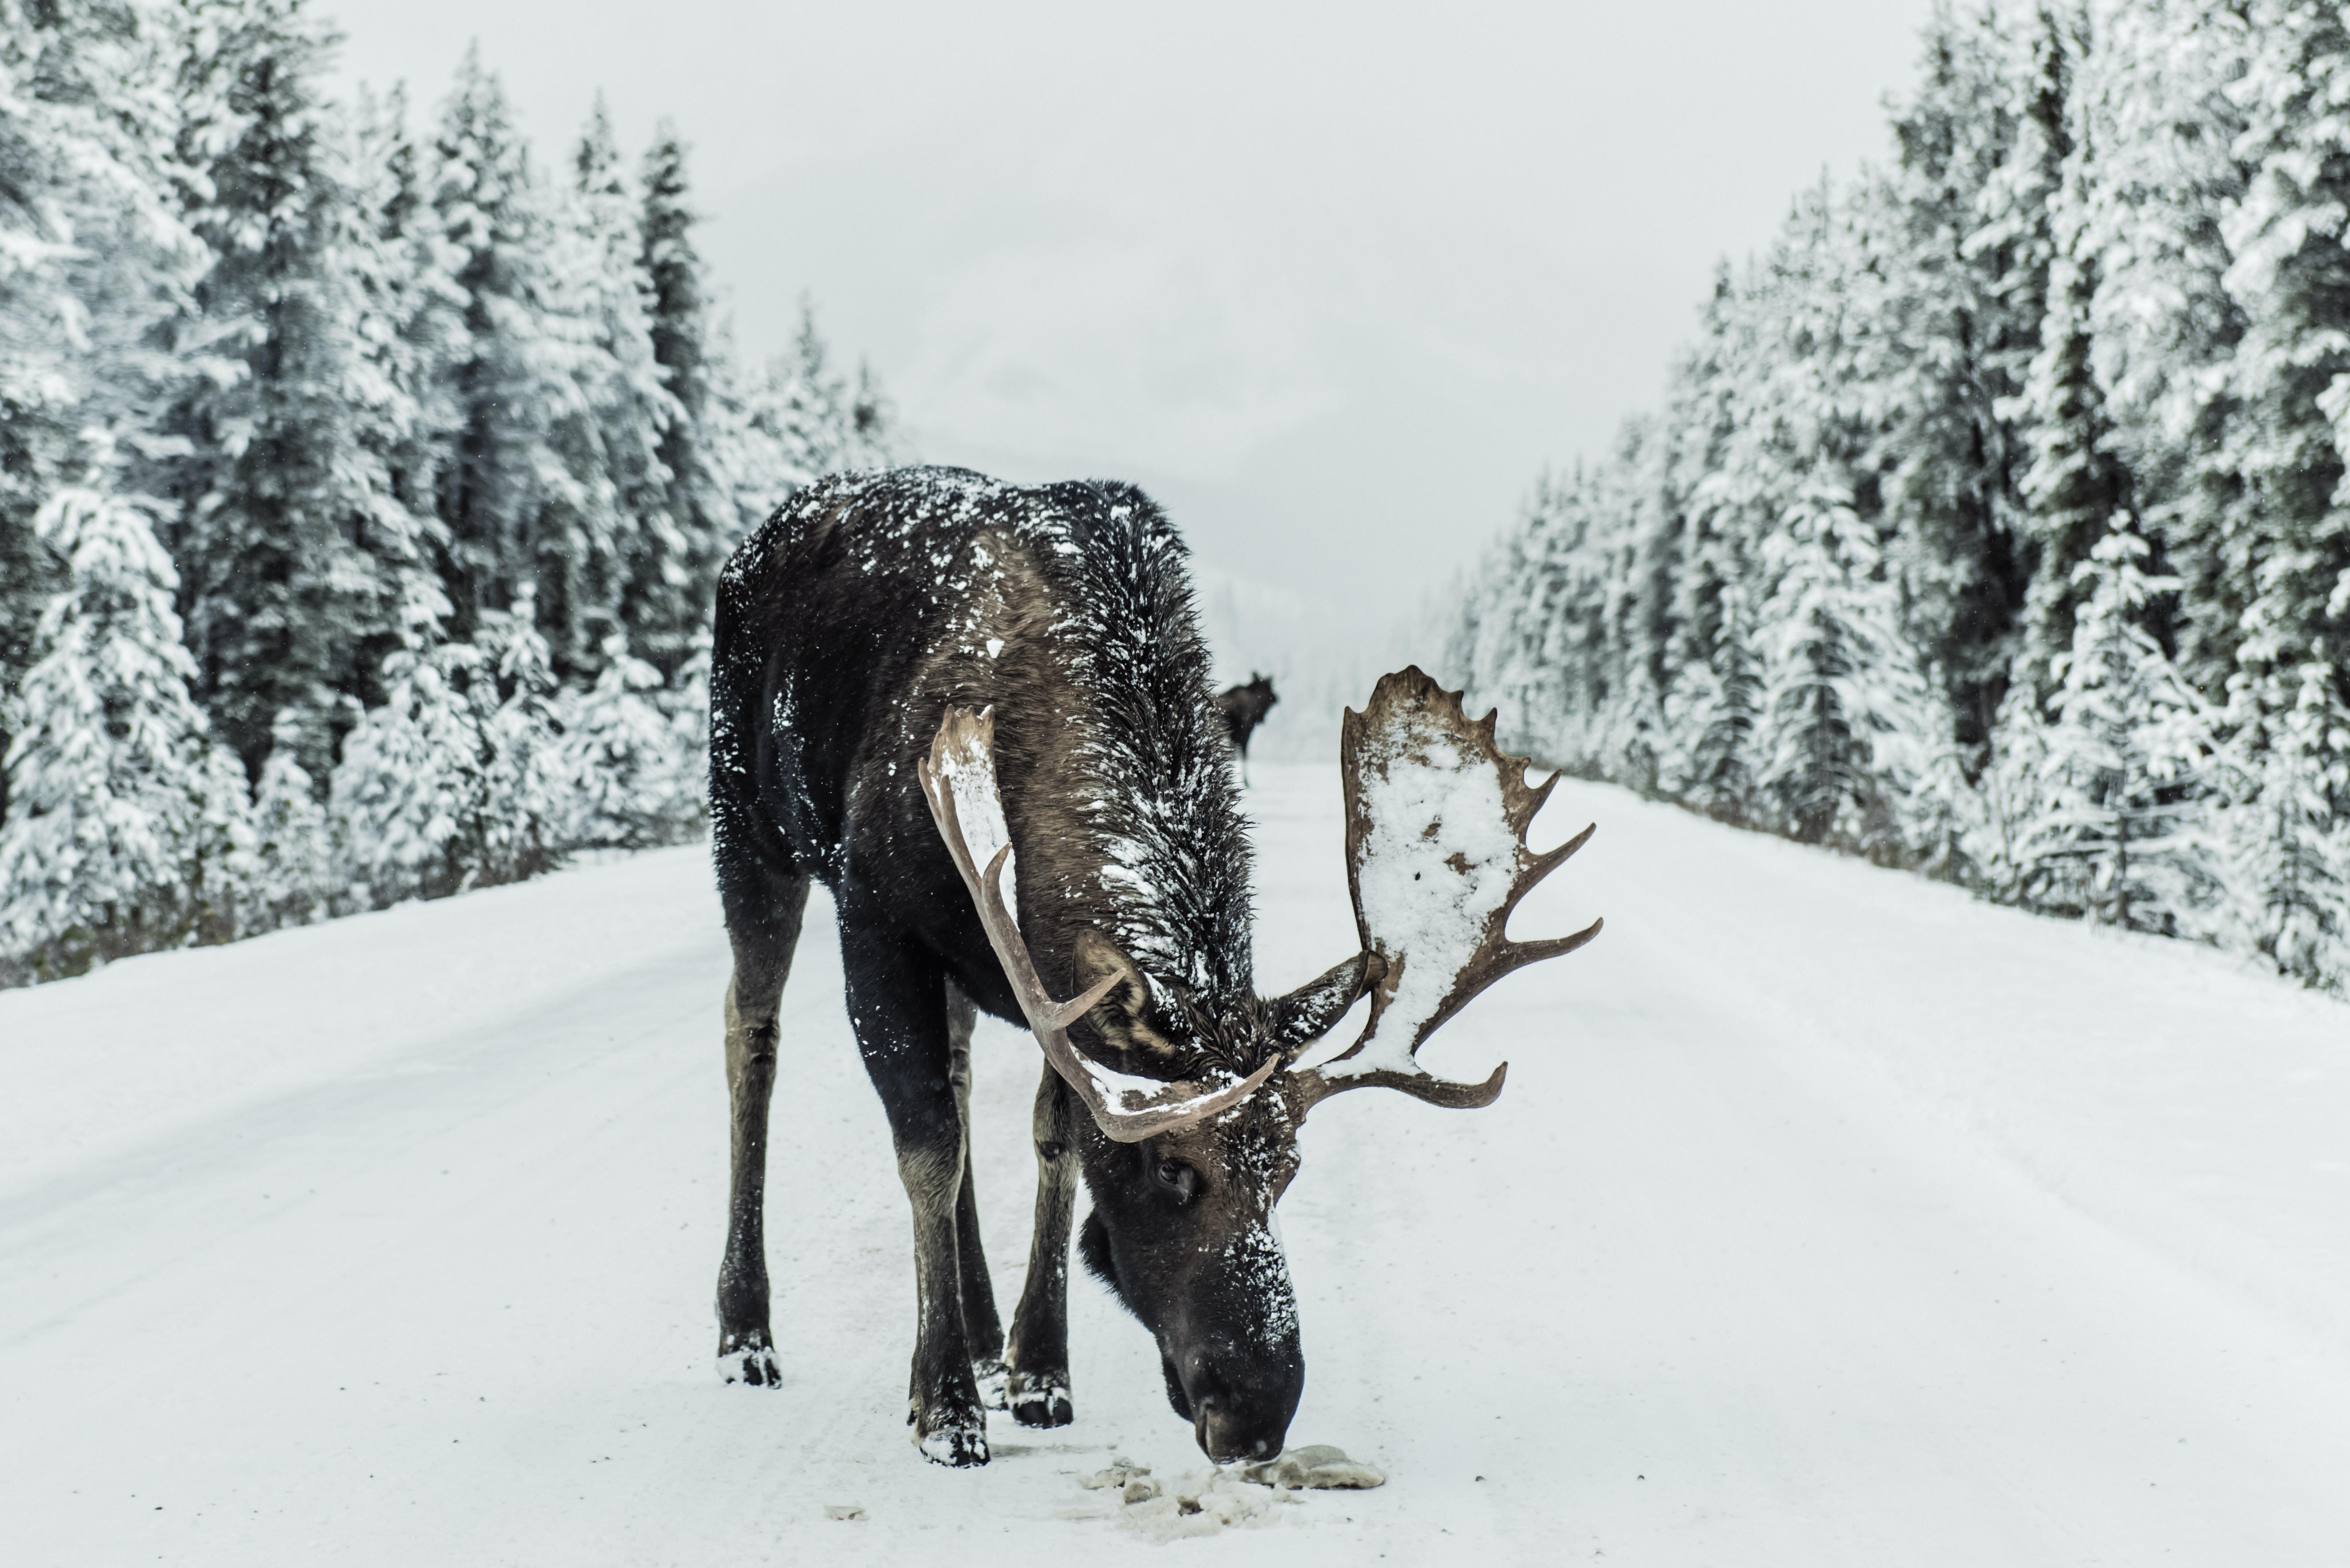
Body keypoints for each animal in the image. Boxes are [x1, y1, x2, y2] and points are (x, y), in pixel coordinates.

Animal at [1214, 673, 1278, 783]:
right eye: (1270, 687)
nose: (1277, 698)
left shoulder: (1234, 736)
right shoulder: (1244, 733)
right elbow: (1243, 755)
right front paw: (1246, 782)